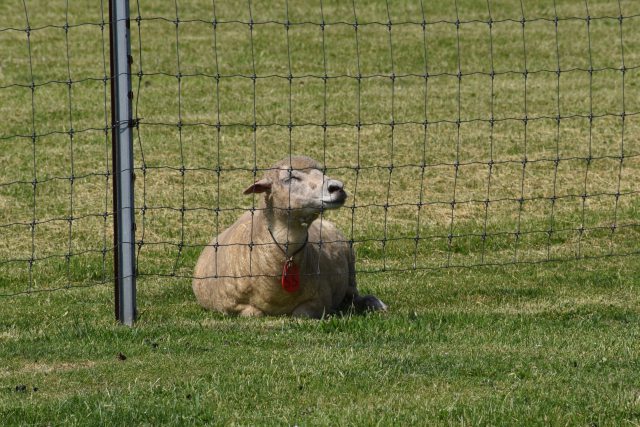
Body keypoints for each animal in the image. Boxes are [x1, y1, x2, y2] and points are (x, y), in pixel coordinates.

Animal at [192, 156, 388, 318]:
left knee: (354, 295)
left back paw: (375, 304)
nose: (337, 187)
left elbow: (301, 313)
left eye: (321, 171)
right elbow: (253, 313)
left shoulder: (320, 300)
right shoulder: (231, 305)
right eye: (290, 177)